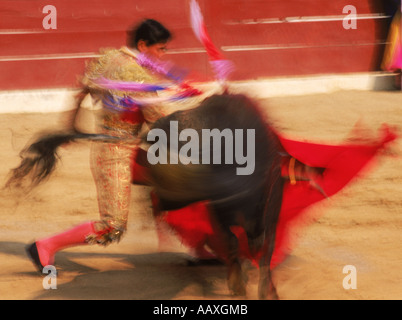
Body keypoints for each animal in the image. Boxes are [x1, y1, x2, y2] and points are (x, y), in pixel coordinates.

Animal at [7, 94, 286, 298]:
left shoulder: (269, 202)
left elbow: (265, 246)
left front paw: (265, 290)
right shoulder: (219, 208)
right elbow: (234, 243)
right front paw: (240, 286)